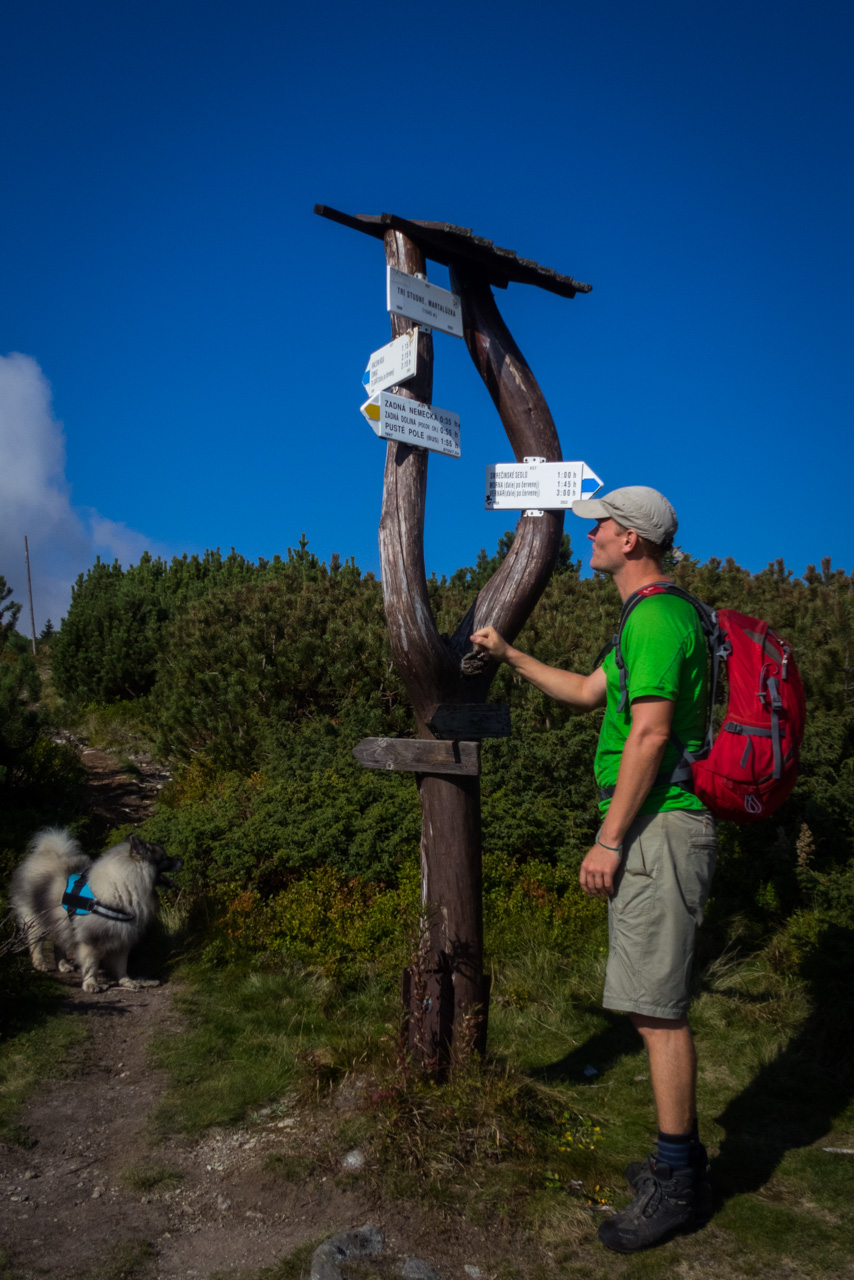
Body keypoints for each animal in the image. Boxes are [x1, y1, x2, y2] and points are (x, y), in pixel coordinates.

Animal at [10, 824, 181, 993]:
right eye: (165, 858)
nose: (182, 860)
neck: (122, 887)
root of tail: (44, 854)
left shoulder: (123, 936)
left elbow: (121, 965)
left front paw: (126, 982)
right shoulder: (91, 939)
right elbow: (91, 964)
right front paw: (91, 984)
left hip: (60, 921)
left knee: (59, 943)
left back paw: (63, 965)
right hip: (35, 920)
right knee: (36, 943)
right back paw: (40, 964)